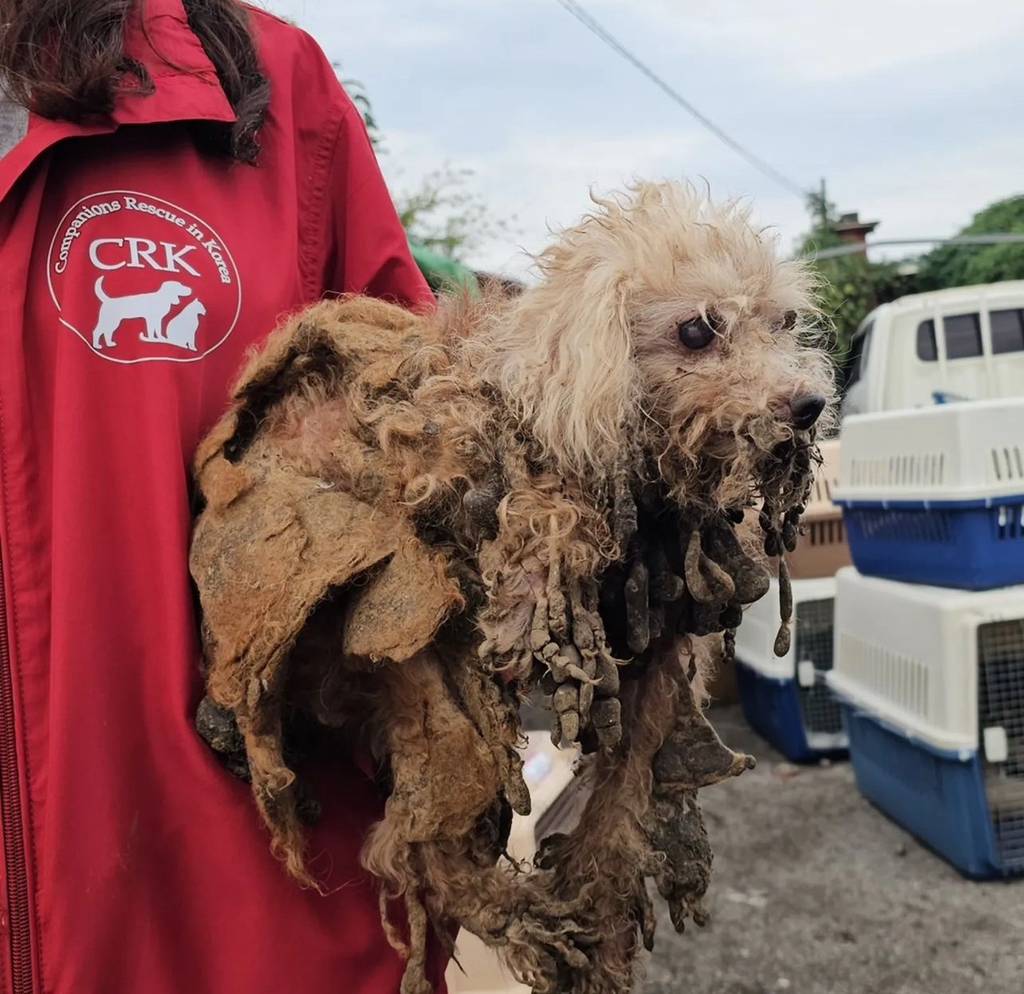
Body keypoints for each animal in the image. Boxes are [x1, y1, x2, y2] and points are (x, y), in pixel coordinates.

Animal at [192, 181, 839, 994]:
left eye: (782, 322)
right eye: (697, 330)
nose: (806, 404)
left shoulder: (656, 656)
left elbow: (630, 788)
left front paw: (599, 923)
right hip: (390, 623)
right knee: (416, 830)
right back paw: (519, 918)